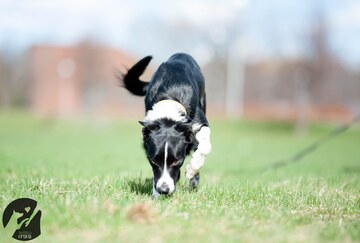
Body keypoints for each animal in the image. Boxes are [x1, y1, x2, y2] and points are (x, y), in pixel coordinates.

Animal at [121, 53, 211, 197]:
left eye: (176, 161)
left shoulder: (199, 122)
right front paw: (156, 194)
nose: (163, 190)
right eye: (153, 160)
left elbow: (205, 147)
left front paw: (191, 169)